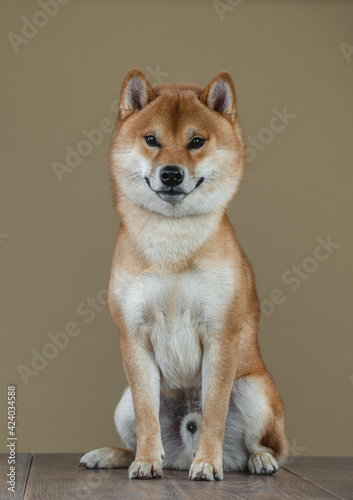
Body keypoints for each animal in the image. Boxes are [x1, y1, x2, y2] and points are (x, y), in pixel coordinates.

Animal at [80, 68, 286, 478]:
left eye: (196, 142)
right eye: (151, 140)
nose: (172, 174)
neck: (172, 246)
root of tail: (181, 451)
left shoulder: (221, 335)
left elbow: (214, 413)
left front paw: (207, 463)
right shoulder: (134, 338)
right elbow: (147, 415)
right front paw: (146, 462)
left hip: (253, 391)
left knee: (266, 445)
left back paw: (258, 460)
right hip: (122, 404)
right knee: (138, 433)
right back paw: (113, 455)